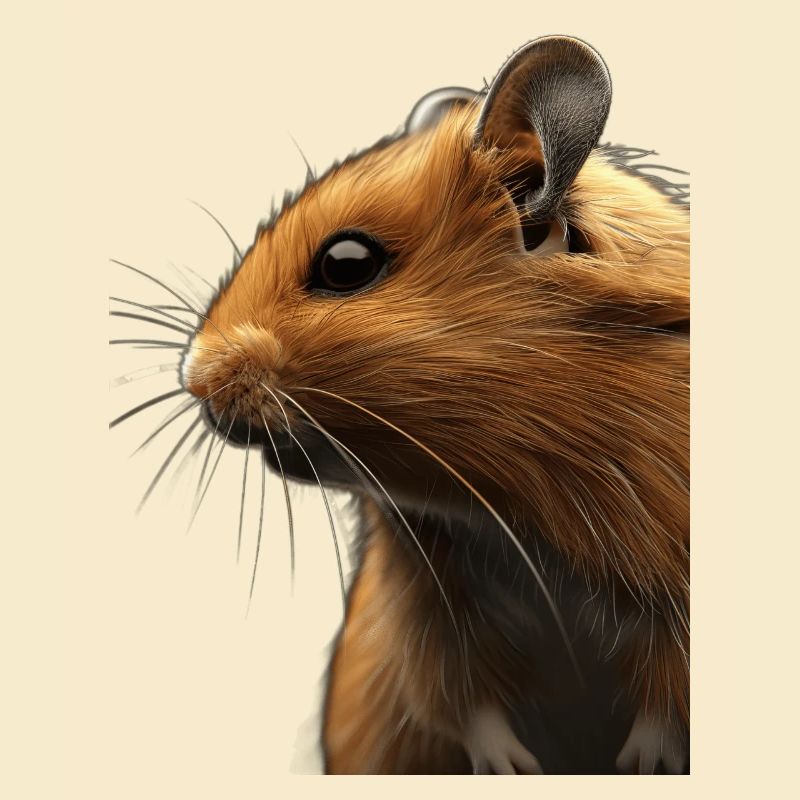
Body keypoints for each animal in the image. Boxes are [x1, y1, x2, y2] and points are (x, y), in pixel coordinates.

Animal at [113, 35, 689, 774]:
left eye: (346, 264)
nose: (193, 378)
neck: (510, 515)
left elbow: (667, 702)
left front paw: (642, 766)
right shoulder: (426, 595)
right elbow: (457, 696)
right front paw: (511, 769)